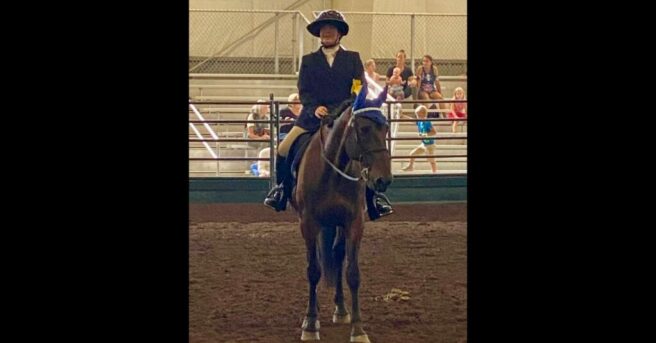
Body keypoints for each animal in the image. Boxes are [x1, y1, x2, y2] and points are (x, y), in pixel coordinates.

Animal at [290, 84, 392, 343]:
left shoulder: (354, 223)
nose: (383, 180)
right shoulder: (308, 223)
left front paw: (358, 328)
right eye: (364, 129)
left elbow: (352, 273)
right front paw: (310, 323)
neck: (333, 172)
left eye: (385, 128)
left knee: (337, 255)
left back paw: (341, 309)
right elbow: (313, 270)